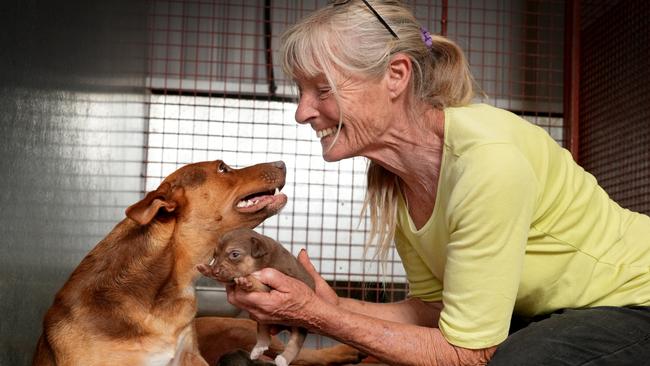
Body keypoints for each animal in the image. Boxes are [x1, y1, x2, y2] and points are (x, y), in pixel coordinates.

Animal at [196, 229, 316, 366]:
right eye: (215, 255)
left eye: (234, 254)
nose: (215, 271)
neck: (263, 260)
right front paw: (207, 269)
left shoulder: (274, 284)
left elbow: (255, 279)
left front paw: (247, 281)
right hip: (263, 317)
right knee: (264, 332)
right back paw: (258, 349)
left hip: (299, 324)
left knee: (296, 341)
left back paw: (282, 359)